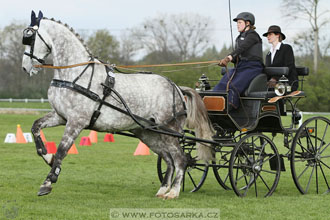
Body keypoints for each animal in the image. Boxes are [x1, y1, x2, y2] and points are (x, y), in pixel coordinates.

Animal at [21, 10, 214, 199]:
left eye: (29, 37)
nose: (25, 68)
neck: (75, 74)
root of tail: (177, 88)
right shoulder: (61, 116)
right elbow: (35, 127)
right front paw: (48, 156)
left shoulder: (77, 121)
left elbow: (62, 149)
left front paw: (48, 182)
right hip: (148, 132)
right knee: (168, 158)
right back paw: (162, 190)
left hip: (169, 130)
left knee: (180, 158)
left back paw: (173, 192)